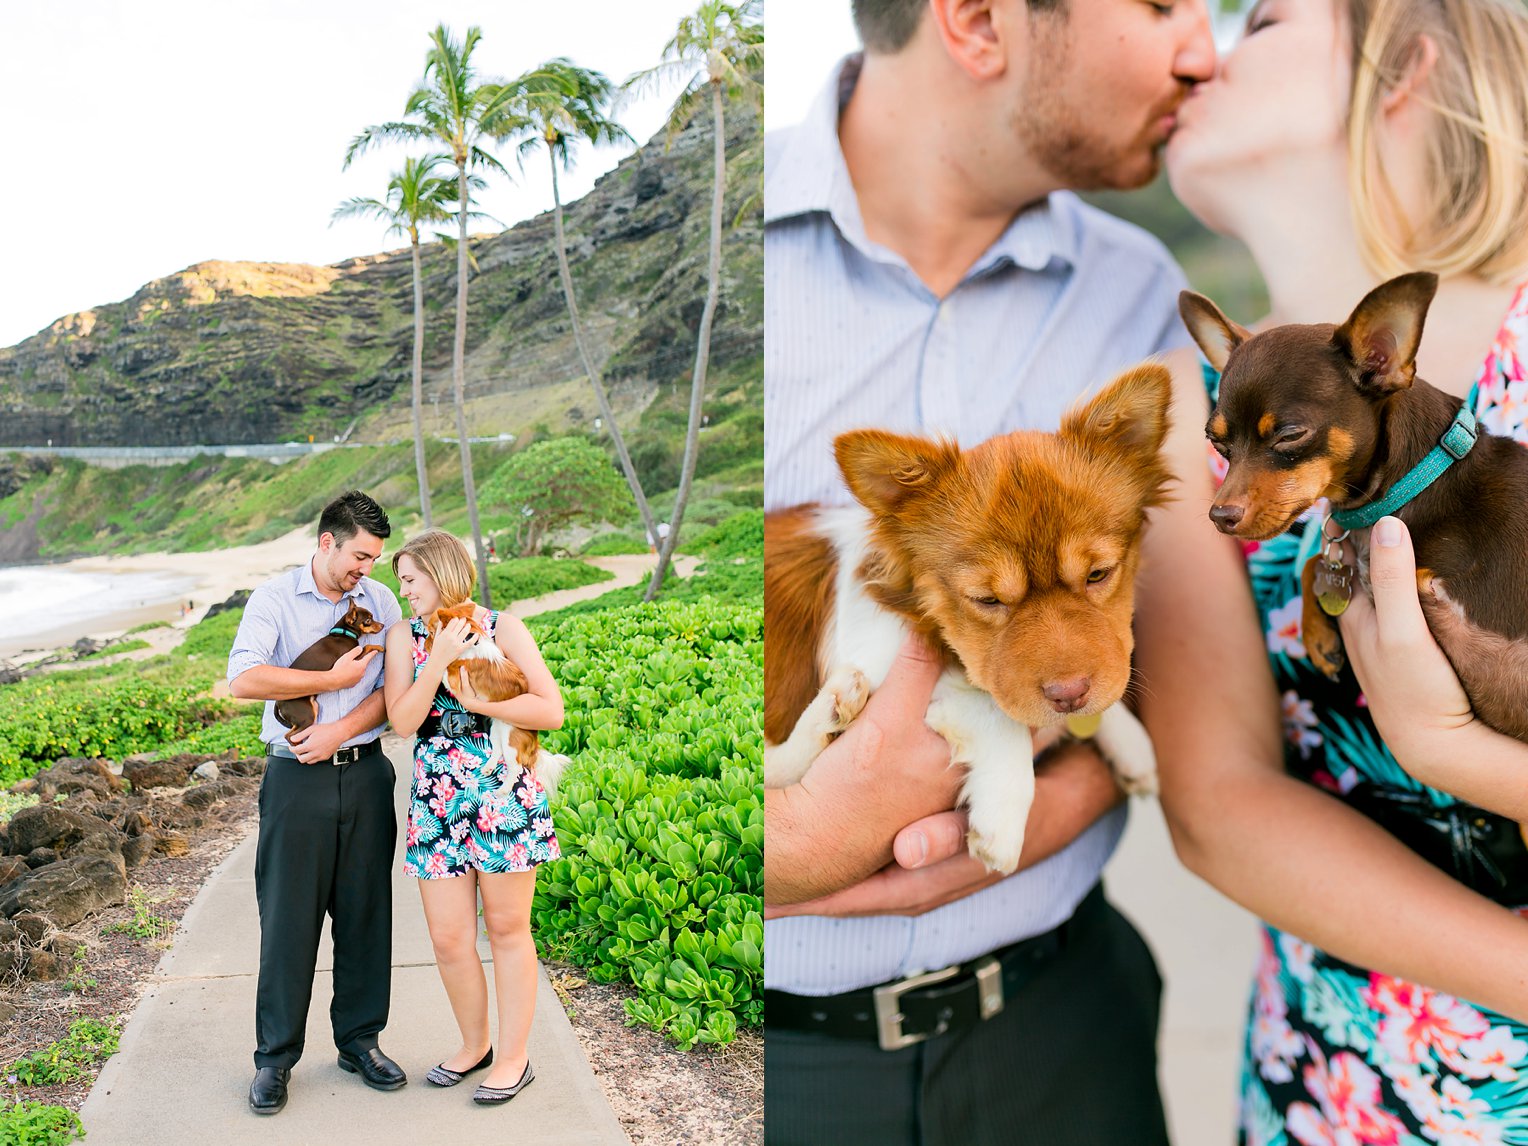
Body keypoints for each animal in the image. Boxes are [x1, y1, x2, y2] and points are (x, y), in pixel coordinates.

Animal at [760, 363, 1167, 874]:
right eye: (986, 600)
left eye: (1099, 575)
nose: (1069, 695)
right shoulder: (884, 662)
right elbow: (996, 709)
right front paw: (1004, 816)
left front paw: (1130, 741)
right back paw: (832, 711)